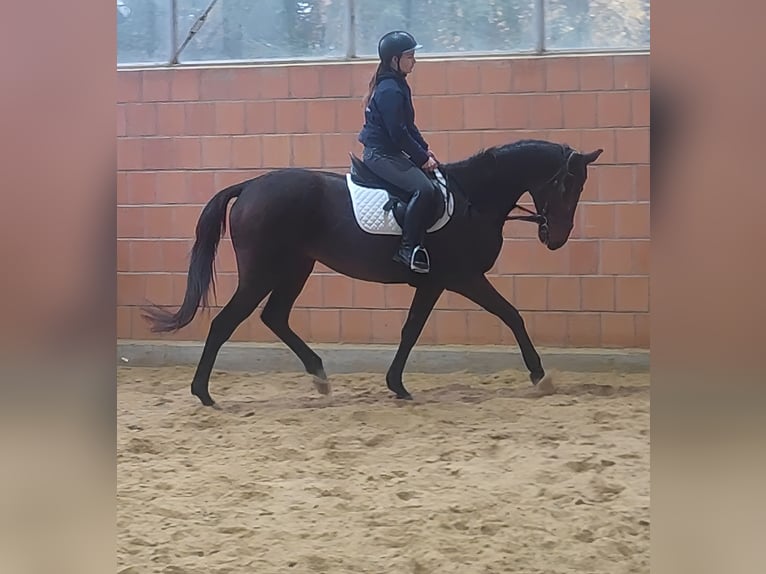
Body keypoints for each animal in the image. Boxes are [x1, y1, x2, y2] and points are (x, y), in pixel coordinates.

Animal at [141, 139, 603, 407]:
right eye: (567, 185)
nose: (556, 238)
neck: (474, 200)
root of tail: (251, 186)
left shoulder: (435, 283)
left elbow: (412, 329)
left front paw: (396, 384)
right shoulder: (461, 278)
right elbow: (510, 315)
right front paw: (540, 376)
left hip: (296, 267)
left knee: (274, 317)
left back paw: (319, 377)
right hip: (262, 272)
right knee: (225, 322)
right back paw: (203, 394)